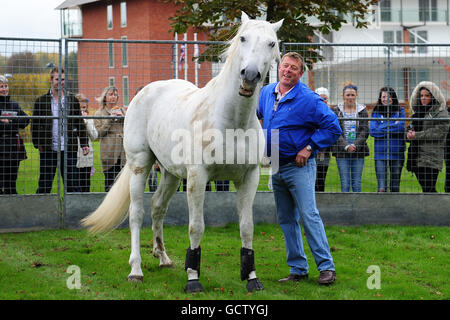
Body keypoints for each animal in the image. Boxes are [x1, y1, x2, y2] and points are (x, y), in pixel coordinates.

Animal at [81, 12, 282, 292]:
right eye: (243, 38)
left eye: (271, 43)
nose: (250, 75)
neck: (231, 121)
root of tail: (145, 91)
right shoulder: (198, 178)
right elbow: (196, 227)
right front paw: (193, 278)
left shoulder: (248, 178)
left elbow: (247, 227)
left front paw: (252, 278)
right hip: (140, 165)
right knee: (136, 214)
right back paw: (136, 270)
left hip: (170, 173)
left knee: (157, 208)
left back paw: (163, 257)